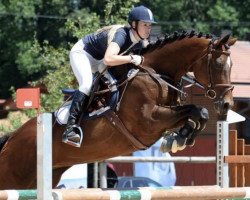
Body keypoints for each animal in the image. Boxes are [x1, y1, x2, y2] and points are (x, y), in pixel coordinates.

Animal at [0, 31, 236, 189]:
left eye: (231, 65)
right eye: (218, 64)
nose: (226, 104)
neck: (156, 73)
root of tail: (13, 137)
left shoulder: (166, 116)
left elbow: (199, 113)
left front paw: (178, 139)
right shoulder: (149, 122)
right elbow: (195, 111)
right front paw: (180, 138)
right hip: (13, 178)